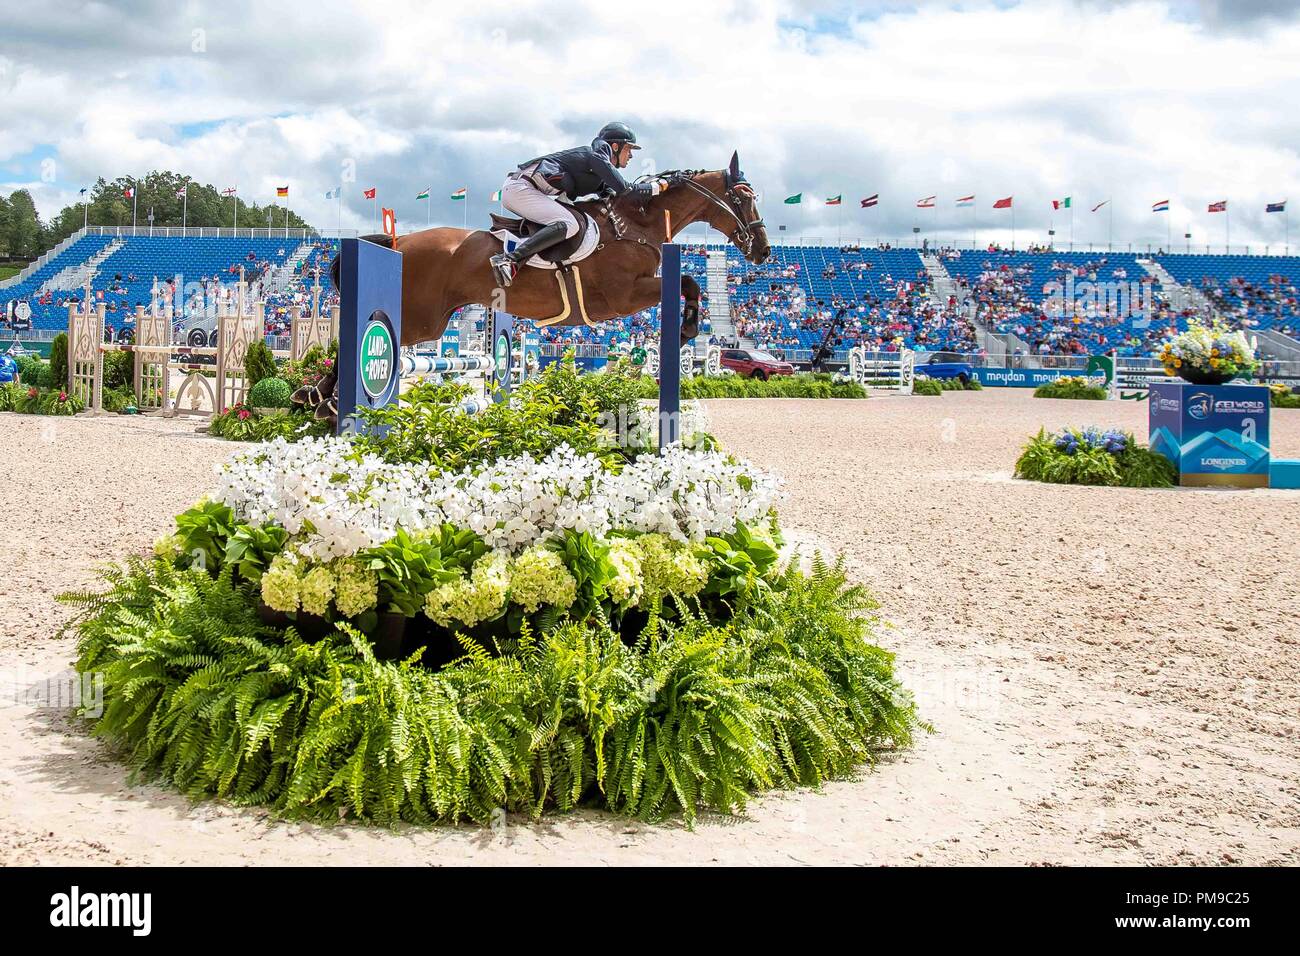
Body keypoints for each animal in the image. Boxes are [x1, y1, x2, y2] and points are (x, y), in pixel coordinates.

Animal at [299, 151, 764, 416]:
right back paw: (324, 400)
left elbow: (690, 282)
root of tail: (399, 242)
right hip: (419, 320)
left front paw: (685, 333)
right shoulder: (623, 297)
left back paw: (315, 399)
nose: (762, 250)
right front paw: (685, 332)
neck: (635, 223)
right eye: (743, 197)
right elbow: (687, 281)